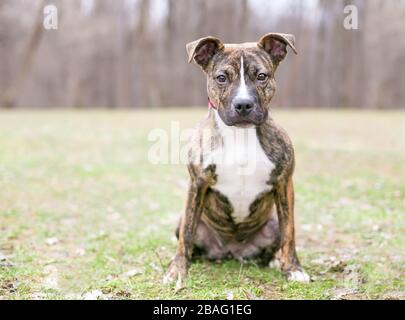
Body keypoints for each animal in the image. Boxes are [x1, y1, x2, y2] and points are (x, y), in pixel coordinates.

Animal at [164, 33, 310, 290]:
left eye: (261, 76)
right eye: (221, 78)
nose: (243, 105)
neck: (240, 134)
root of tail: (231, 252)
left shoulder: (284, 183)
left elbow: (289, 230)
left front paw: (293, 269)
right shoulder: (197, 183)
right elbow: (186, 235)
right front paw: (178, 269)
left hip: (271, 225)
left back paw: (275, 261)